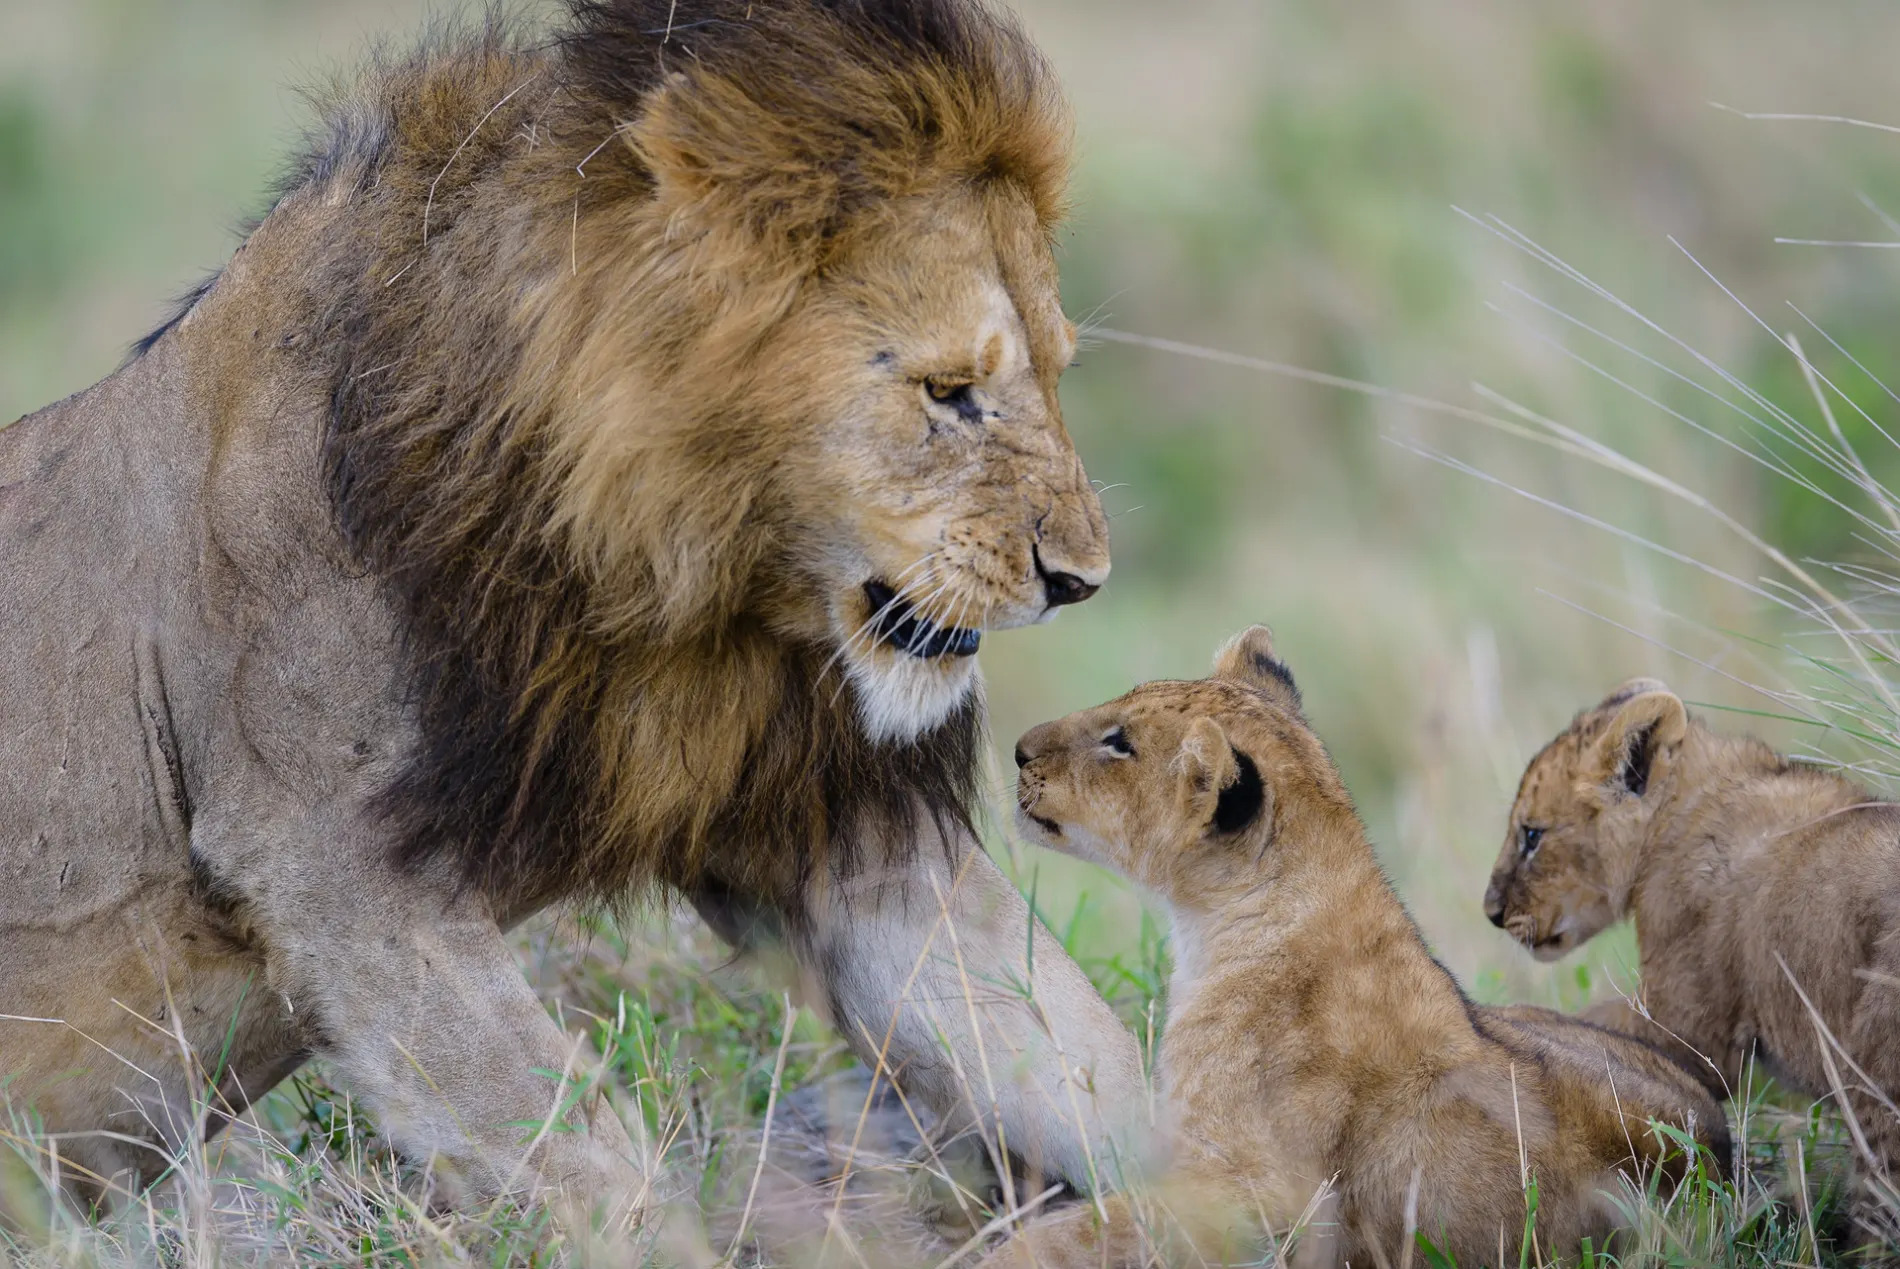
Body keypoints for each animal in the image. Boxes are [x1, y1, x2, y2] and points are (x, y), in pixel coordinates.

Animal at [0, 0, 1132, 1215]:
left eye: (1055, 373)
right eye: (947, 392)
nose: (1081, 579)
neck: (672, 598)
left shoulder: (843, 830)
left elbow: (1091, 1066)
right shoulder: (327, 863)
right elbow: (588, 1163)